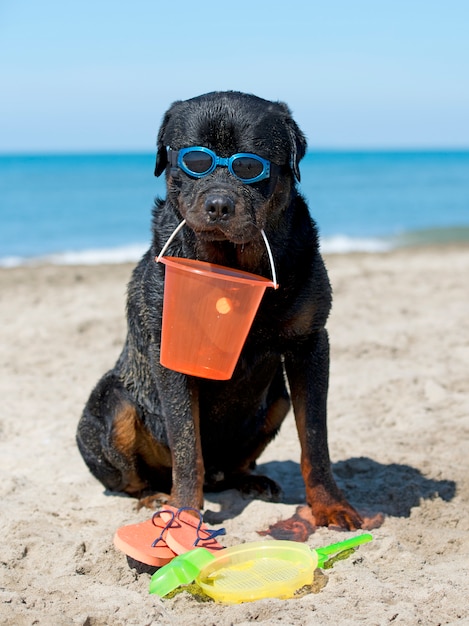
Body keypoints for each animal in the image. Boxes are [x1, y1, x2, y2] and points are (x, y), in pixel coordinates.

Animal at [77, 90, 362, 528]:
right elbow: (186, 444)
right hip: (112, 401)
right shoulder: (169, 350)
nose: (219, 203)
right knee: (133, 469)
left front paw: (330, 505)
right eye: (195, 161)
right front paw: (182, 511)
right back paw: (154, 496)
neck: (232, 268)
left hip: (276, 400)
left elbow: (315, 437)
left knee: (234, 463)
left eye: (249, 164)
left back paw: (251, 481)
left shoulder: (310, 342)